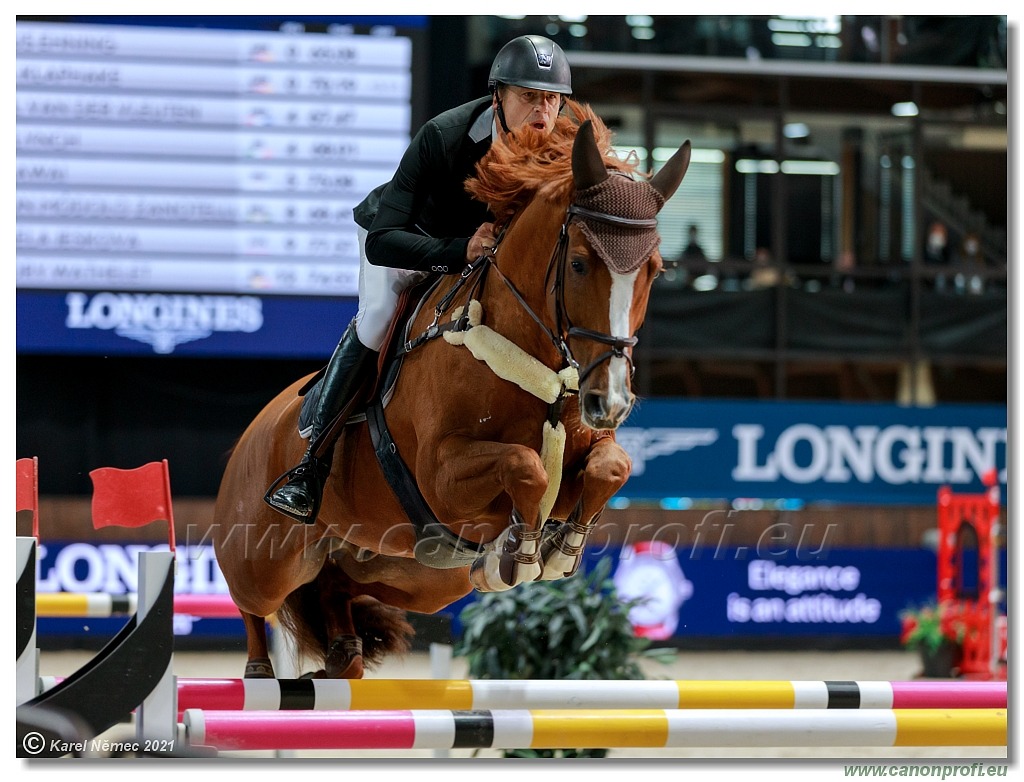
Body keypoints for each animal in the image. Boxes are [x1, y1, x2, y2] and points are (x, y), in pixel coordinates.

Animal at [214, 103, 696, 679]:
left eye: (653, 270)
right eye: (579, 263)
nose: (610, 403)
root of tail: (253, 431)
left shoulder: (586, 449)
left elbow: (610, 468)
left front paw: (557, 548)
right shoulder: (442, 475)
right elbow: (524, 466)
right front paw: (523, 553)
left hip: (413, 573)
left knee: (336, 587)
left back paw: (342, 656)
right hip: (265, 554)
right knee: (251, 599)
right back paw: (260, 668)